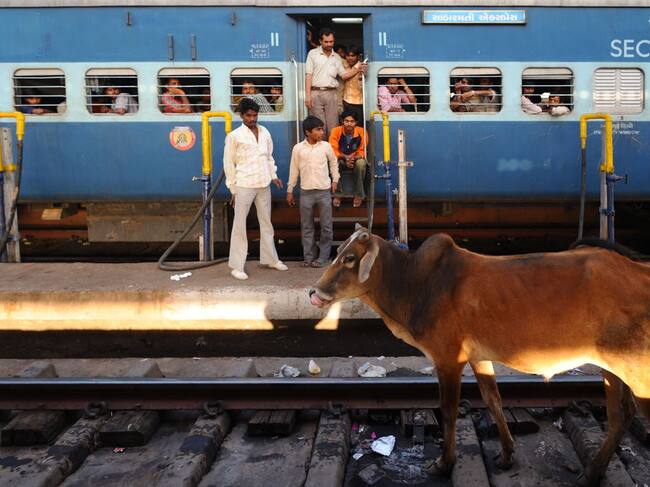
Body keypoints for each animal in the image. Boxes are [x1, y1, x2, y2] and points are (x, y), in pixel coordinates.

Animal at [309, 224, 650, 486]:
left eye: (350, 258)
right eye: (338, 253)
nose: (314, 291)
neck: (414, 284)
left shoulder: (448, 359)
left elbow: (448, 411)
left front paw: (443, 464)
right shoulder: (478, 357)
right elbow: (493, 399)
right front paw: (506, 453)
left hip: (637, 372)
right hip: (613, 368)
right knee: (620, 415)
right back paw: (592, 472)